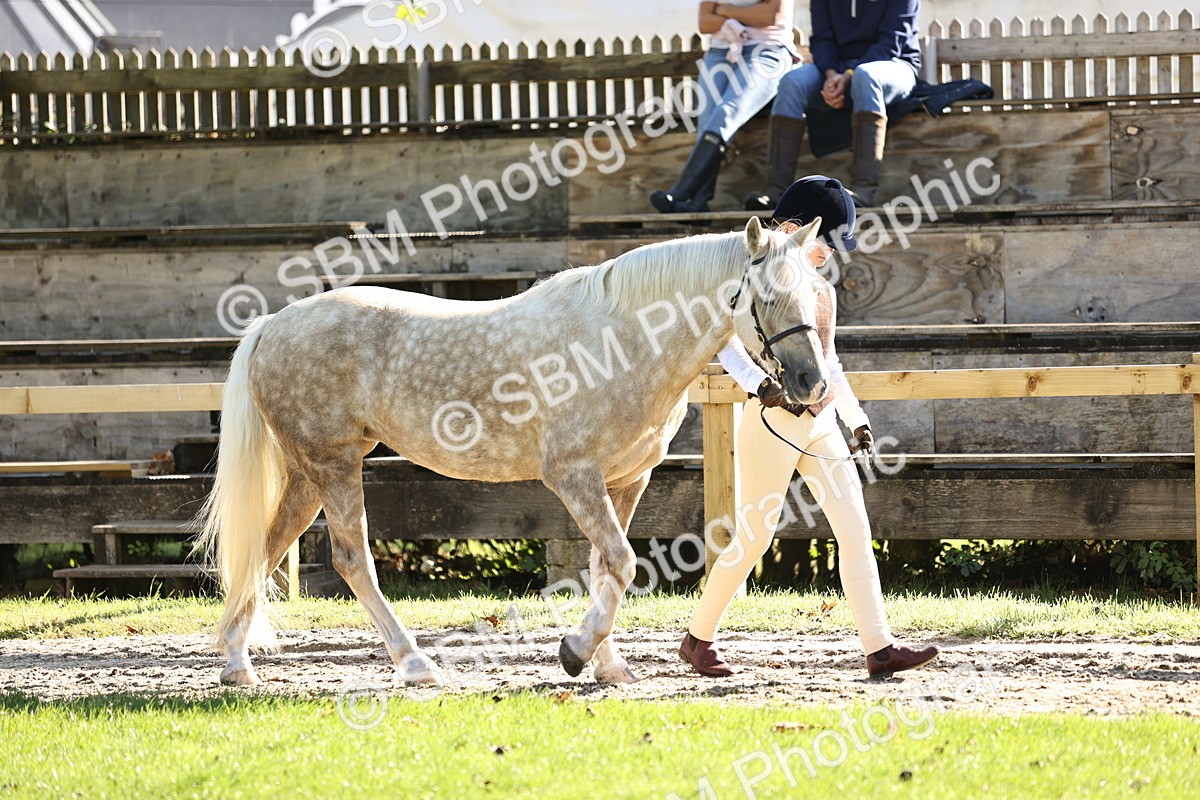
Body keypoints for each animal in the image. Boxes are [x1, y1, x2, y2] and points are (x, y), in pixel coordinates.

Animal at [198, 215, 832, 687]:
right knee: (353, 560)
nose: (811, 383)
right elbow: (623, 562)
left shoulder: (626, 481)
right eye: (768, 297)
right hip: (333, 466)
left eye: (814, 293)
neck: (622, 342)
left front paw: (607, 667)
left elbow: (607, 569)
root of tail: (273, 324)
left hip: (308, 474)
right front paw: (575, 653)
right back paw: (416, 665)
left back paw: (237, 665)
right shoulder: (574, 475)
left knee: (262, 550)